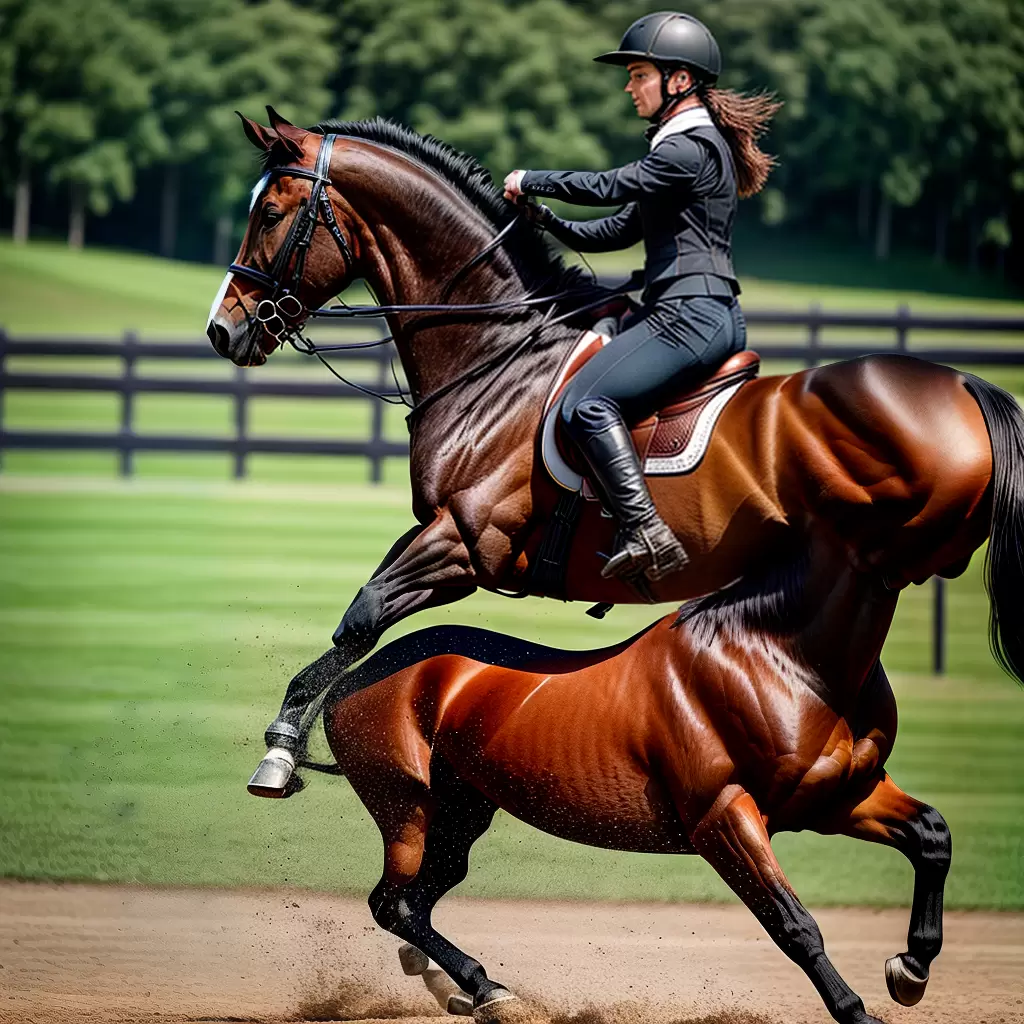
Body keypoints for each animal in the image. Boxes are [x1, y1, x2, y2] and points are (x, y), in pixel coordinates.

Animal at [205, 109, 1024, 796]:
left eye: (270, 214)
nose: (222, 329)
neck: (501, 354)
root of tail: (963, 384)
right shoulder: (436, 529)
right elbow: (365, 612)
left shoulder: (467, 545)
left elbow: (363, 615)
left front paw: (282, 747)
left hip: (867, 559)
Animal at [315, 532, 975, 1024]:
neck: (771, 656)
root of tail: (354, 678)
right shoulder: (723, 819)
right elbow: (793, 923)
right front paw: (854, 1009)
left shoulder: (835, 799)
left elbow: (932, 835)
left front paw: (912, 966)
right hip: (405, 809)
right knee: (394, 903)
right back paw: (484, 986)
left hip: (461, 814)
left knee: (420, 898)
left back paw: (464, 985)